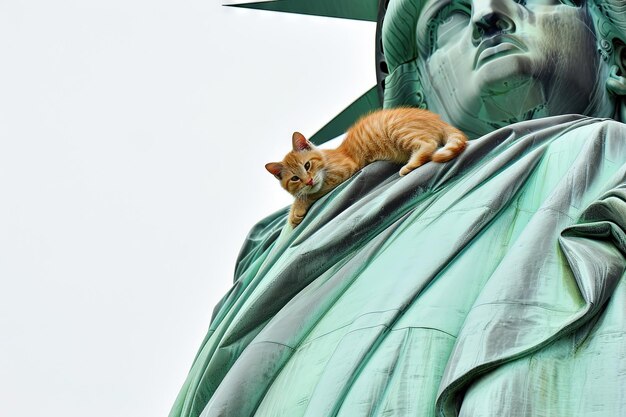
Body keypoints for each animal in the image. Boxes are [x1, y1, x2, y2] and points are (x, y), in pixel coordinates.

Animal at [264, 105, 464, 226]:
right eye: (295, 178)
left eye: (307, 165)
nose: (308, 181)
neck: (327, 159)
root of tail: (437, 119)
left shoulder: (343, 170)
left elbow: (312, 194)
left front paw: (296, 209)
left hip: (397, 129)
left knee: (428, 144)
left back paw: (410, 165)